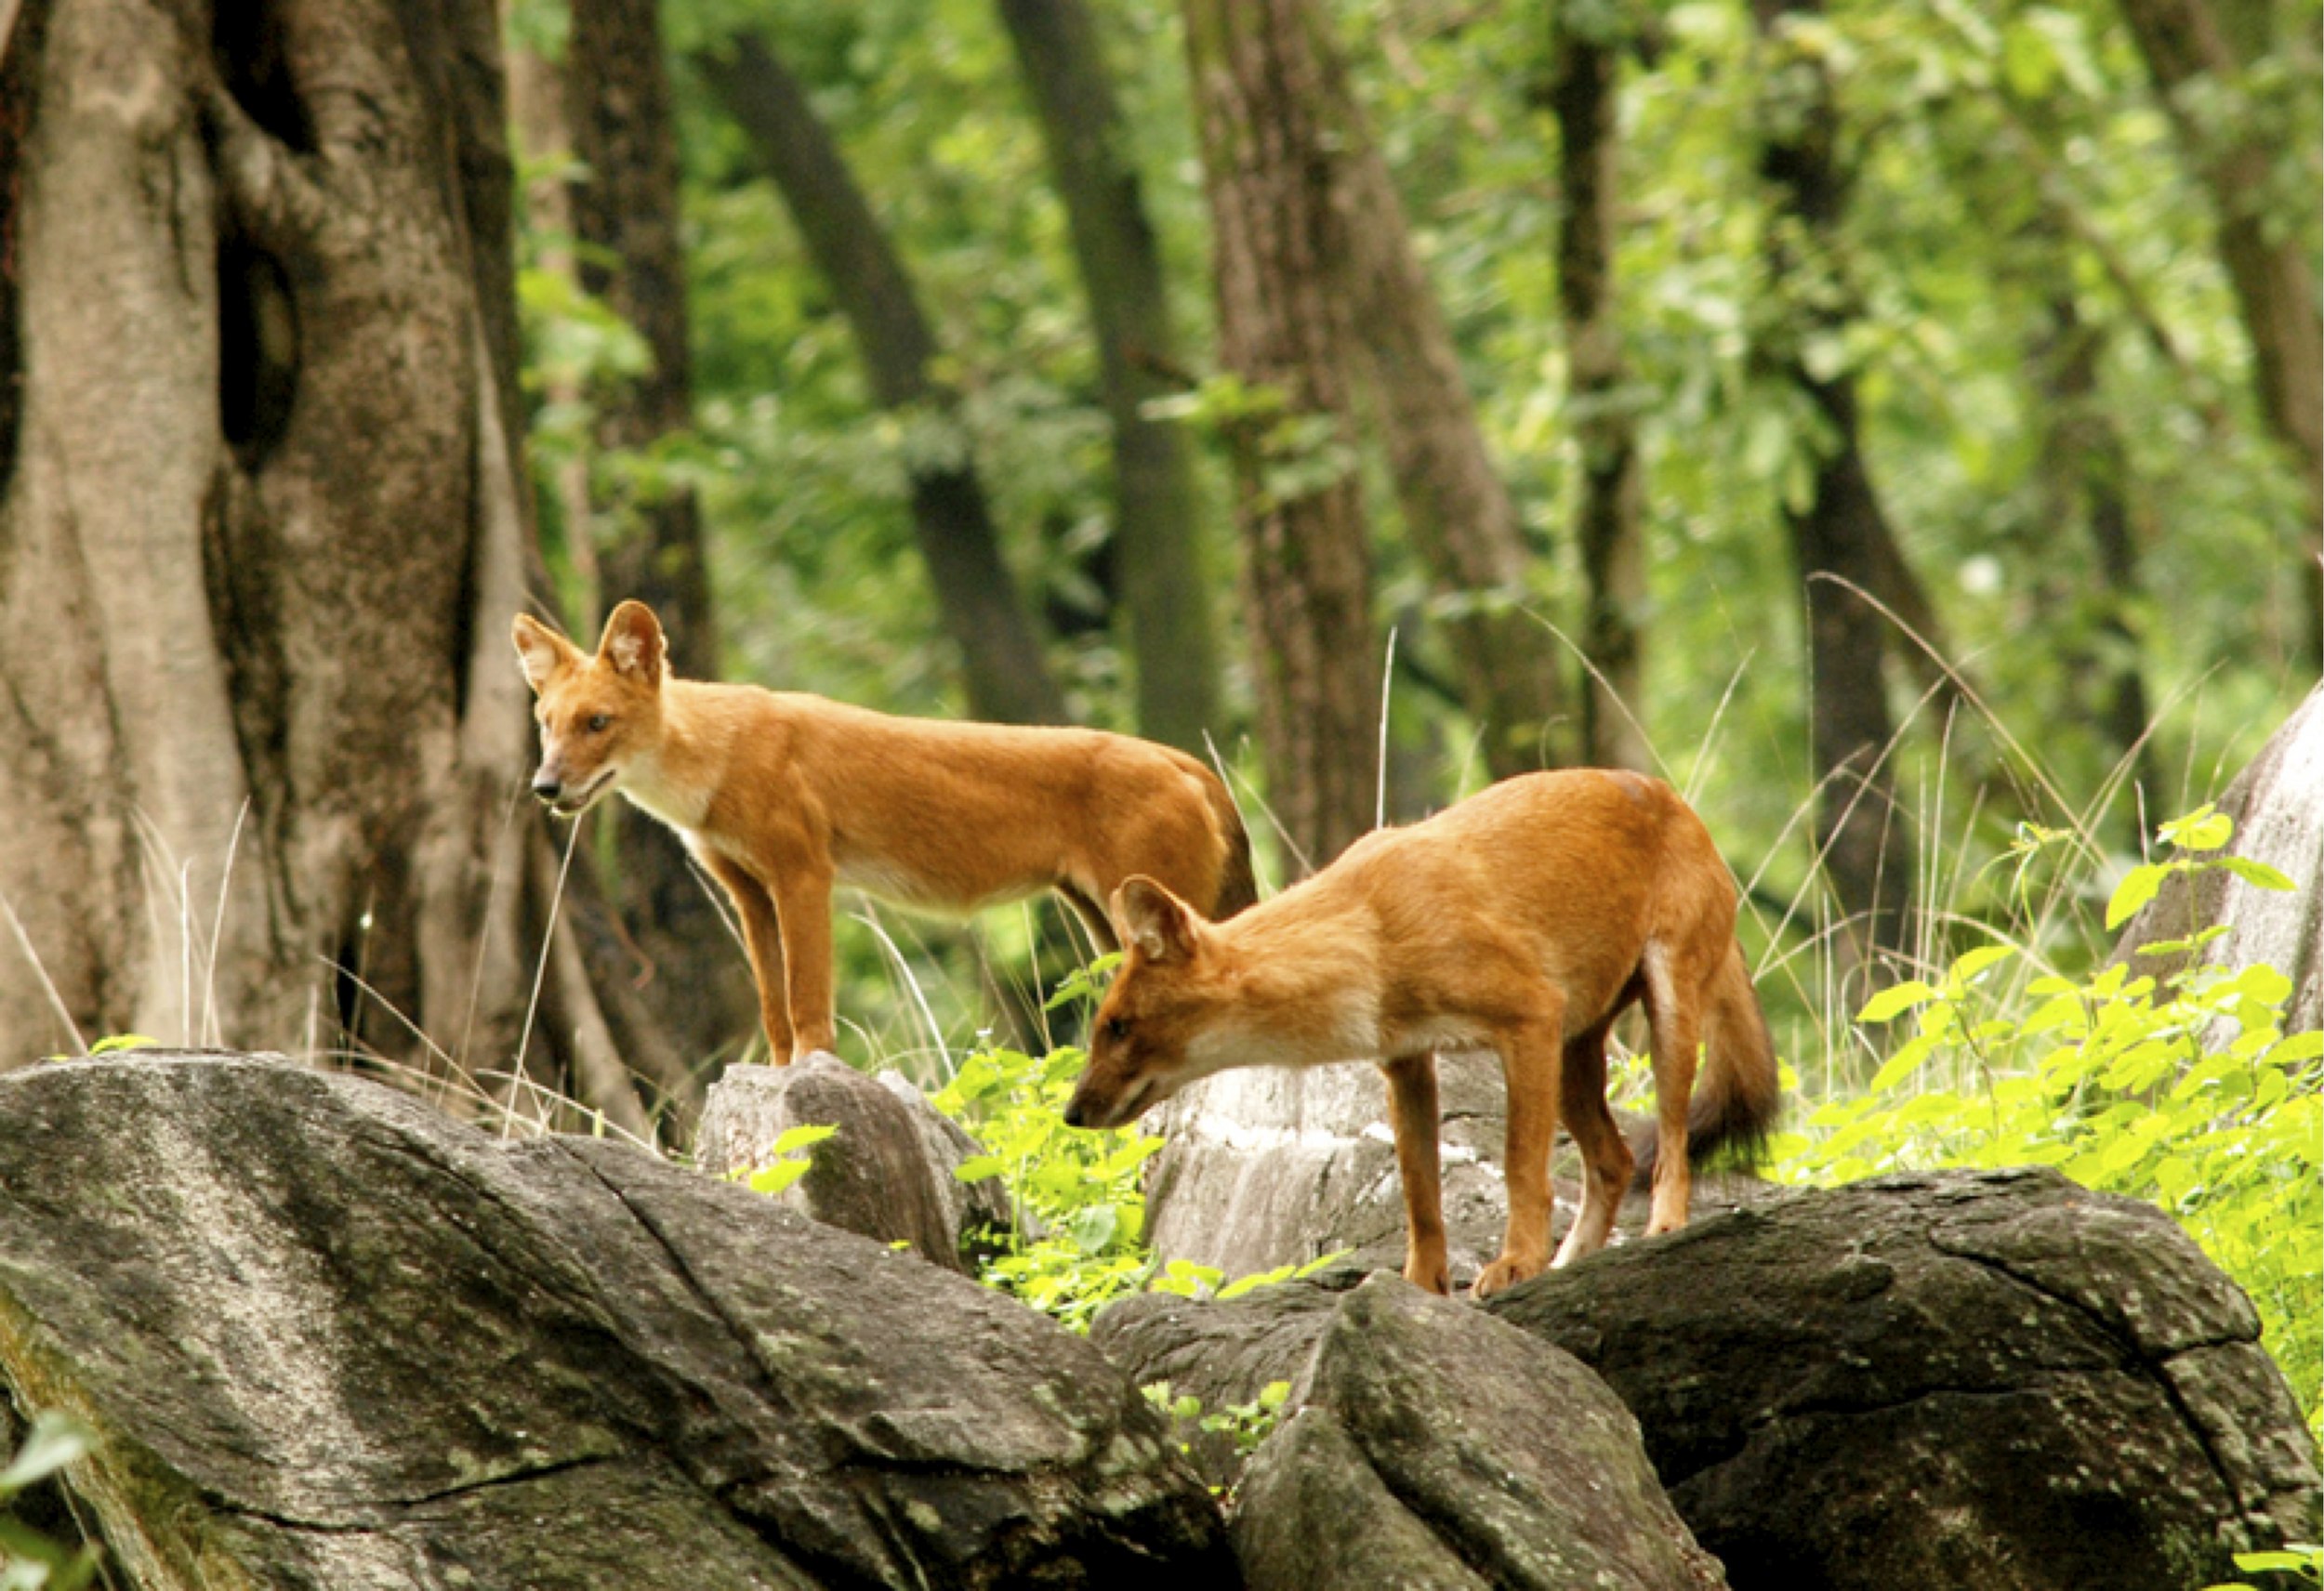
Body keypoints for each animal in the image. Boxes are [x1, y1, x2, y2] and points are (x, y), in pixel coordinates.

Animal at [511, 594, 1255, 1054]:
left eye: (598, 722)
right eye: (546, 724)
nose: (545, 787)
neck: (715, 763)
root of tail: (1178, 756)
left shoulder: (804, 875)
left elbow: (807, 1000)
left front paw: (814, 1074)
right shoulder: (749, 894)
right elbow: (772, 1008)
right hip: (1105, 921)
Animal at [1064, 770, 1766, 1300]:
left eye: (1118, 1027)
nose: (1072, 1112)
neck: (1372, 931)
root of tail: (1674, 799)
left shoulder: (1528, 1019)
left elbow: (1520, 1167)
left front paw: (1515, 1263)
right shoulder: (1406, 1062)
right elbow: (1420, 1194)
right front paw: (1420, 1286)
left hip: (1665, 1009)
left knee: (1671, 1143)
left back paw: (1664, 1228)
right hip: (1575, 1054)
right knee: (1615, 1160)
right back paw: (1571, 1261)